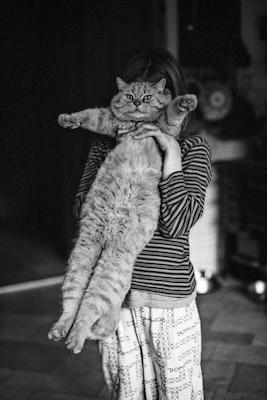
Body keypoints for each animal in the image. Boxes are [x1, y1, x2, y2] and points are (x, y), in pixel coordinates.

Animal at [49, 77, 198, 354]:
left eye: (147, 97)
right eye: (129, 96)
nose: (138, 102)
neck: (138, 124)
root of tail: (107, 238)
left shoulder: (166, 127)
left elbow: (173, 108)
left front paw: (188, 100)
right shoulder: (109, 119)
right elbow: (88, 114)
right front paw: (67, 119)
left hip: (105, 272)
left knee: (86, 310)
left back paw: (73, 339)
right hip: (80, 261)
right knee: (74, 307)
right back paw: (62, 331)